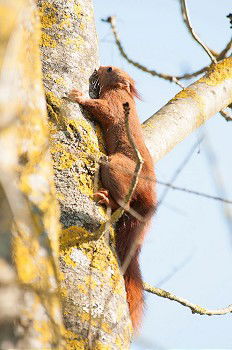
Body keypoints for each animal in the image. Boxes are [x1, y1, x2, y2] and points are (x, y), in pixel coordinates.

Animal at [68, 65, 157, 330]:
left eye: (109, 70)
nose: (99, 68)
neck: (122, 91)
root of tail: (149, 199)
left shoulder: (115, 105)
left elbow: (102, 110)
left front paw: (78, 96)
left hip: (117, 165)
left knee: (123, 202)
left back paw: (107, 199)